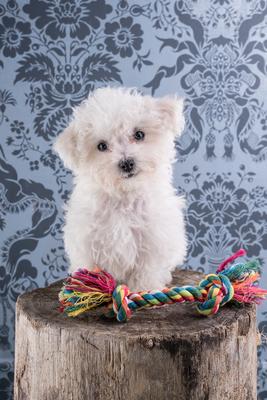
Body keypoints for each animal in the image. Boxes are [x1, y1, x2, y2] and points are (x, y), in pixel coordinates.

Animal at [54, 86, 188, 290]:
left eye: (139, 134)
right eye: (101, 146)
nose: (127, 163)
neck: (124, 196)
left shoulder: (153, 237)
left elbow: (147, 268)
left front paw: (145, 288)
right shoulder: (87, 240)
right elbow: (90, 267)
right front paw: (90, 287)